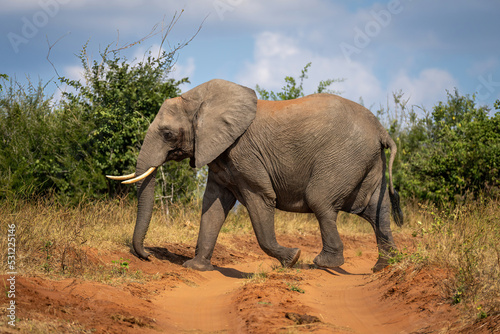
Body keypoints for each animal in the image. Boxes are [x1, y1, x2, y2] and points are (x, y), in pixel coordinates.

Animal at [107, 79, 404, 272]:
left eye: (168, 134)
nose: (147, 256)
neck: (202, 100)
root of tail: (381, 129)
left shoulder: (244, 154)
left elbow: (260, 199)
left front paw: (292, 259)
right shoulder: (220, 155)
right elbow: (213, 206)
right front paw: (195, 267)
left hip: (343, 157)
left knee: (321, 200)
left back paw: (323, 264)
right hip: (366, 161)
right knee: (374, 210)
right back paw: (383, 267)